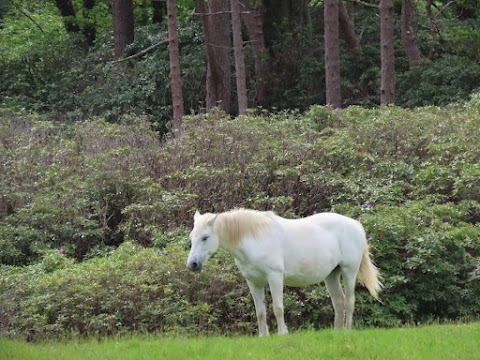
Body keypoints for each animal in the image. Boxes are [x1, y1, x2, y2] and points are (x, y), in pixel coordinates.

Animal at [186, 208, 380, 334]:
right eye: (191, 237)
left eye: (205, 237)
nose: (192, 264)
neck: (255, 239)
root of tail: (355, 225)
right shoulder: (253, 282)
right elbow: (260, 311)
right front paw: (263, 337)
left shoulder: (275, 277)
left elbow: (278, 308)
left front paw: (282, 334)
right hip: (332, 275)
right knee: (339, 302)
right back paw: (337, 332)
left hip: (349, 271)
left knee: (349, 301)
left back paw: (347, 331)